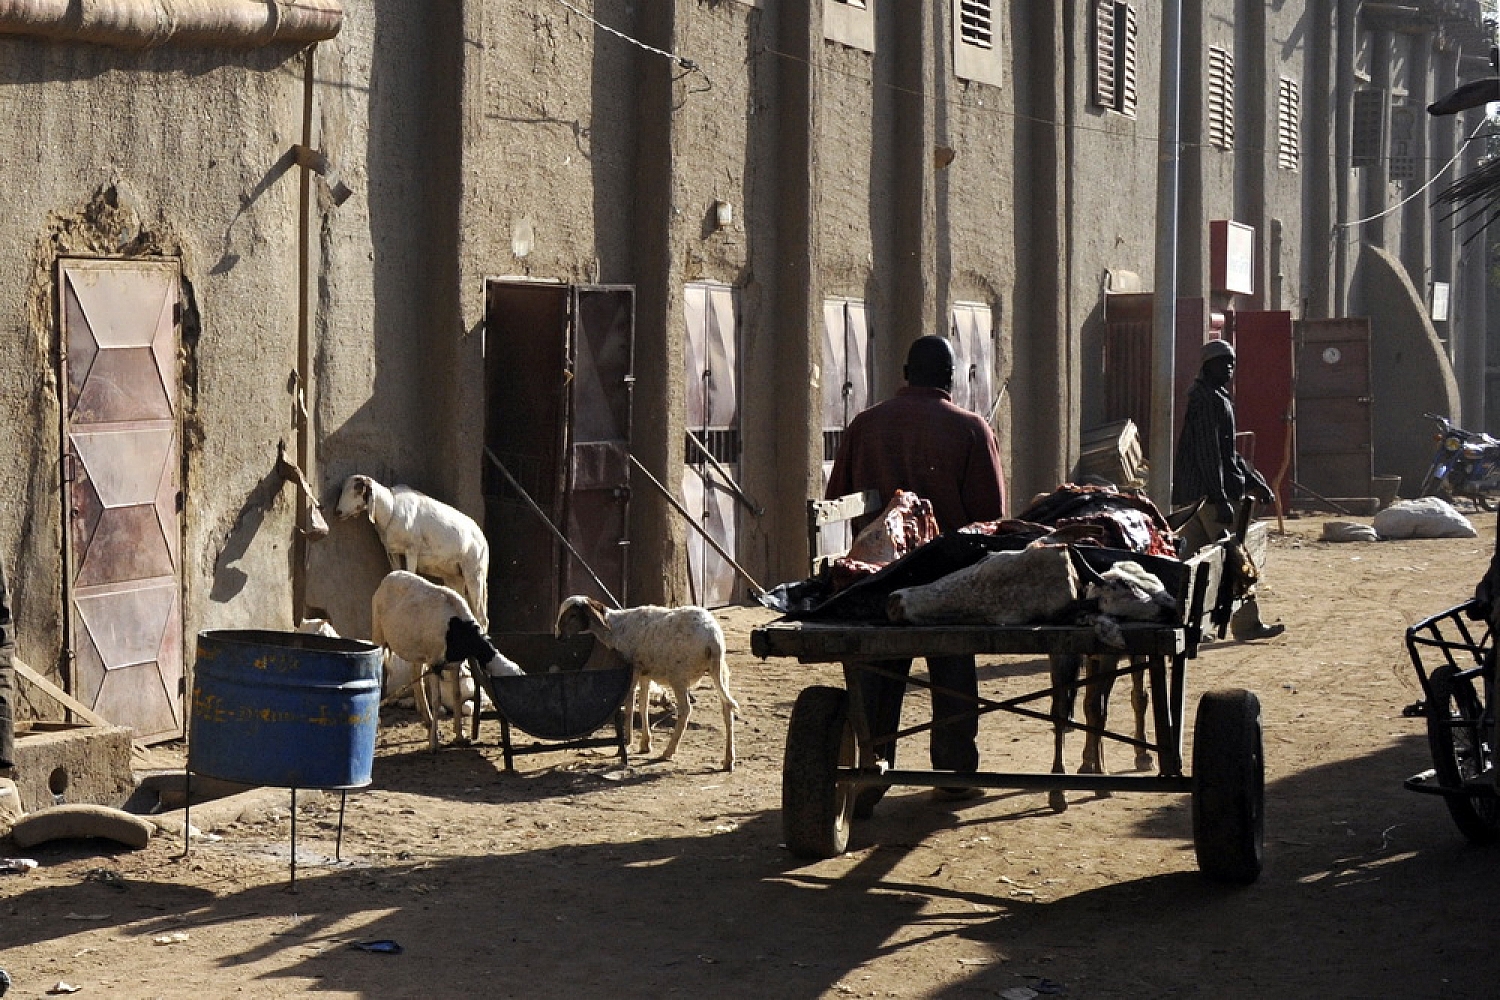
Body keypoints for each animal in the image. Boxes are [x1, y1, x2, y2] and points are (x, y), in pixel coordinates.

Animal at [337, 473, 489, 629]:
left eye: (357, 490)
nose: (338, 512)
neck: (391, 508)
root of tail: (483, 540)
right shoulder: (392, 552)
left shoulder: (411, 550)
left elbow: (410, 573)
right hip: (454, 577)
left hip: (474, 574)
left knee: (482, 617)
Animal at [369, 569, 522, 749]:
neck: (459, 631)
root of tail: (391, 575)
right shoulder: (435, 663)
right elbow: (437, 701)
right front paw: (434, 744)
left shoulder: (453, 664)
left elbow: (457, 695)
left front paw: (460, 736)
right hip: (378, 632)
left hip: (417, 650)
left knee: (417, 678)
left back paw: (428, 722)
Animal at [552, 593, 738, 773]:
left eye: (573, 615)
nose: (558, 637)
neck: (615, 628)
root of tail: (713, 639)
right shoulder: (645, 672)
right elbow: (643, 704)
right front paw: (645, 743)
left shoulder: (632, 670)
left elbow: (629, 705)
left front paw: (627, 742)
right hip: (720, 672)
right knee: (727, 708)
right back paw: (728, 760)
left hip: (678, 675)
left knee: (686, 710)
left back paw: (669, 751)